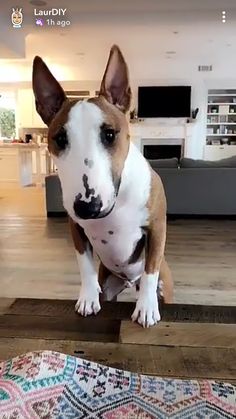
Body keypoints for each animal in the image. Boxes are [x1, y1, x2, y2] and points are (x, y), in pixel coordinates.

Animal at [32, 45, 173, 328]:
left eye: (109, 134)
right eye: (60, 139)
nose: (87, 207)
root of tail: (129, 282)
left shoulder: (157, 227)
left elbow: (150, 269)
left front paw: (146, 308)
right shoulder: (76, 228)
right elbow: (84, 264)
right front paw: (87, 299)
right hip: (109, 284)